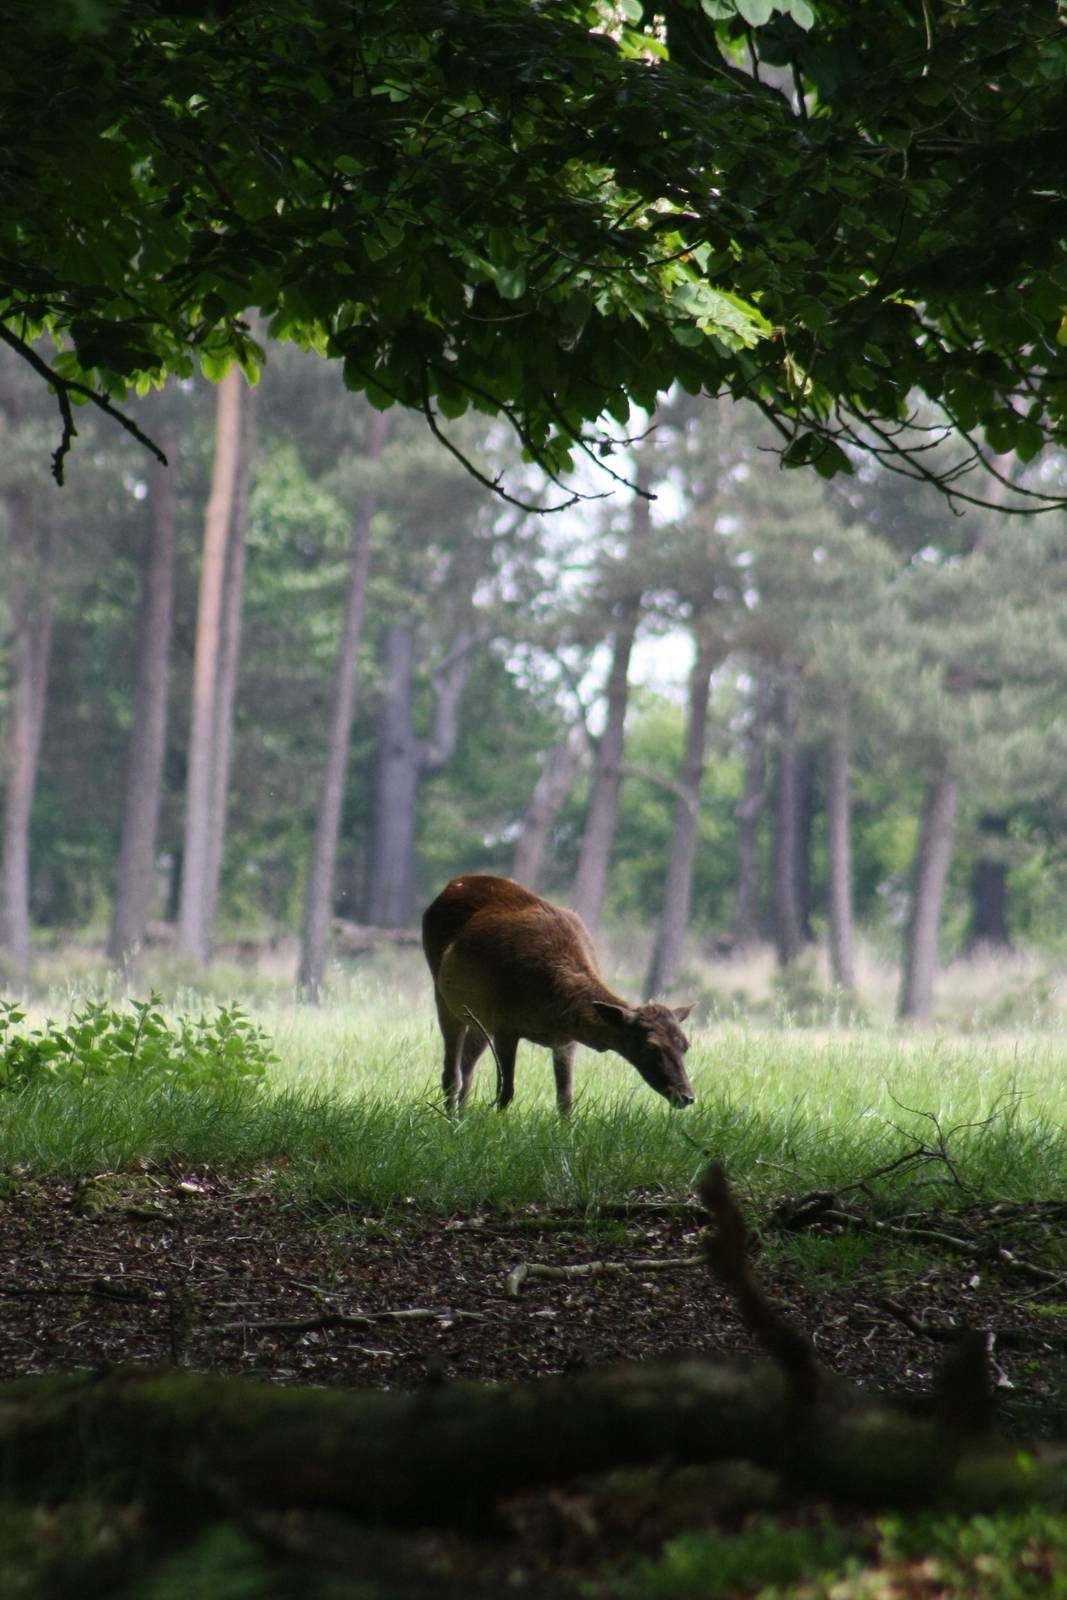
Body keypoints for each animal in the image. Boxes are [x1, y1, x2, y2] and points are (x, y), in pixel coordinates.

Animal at [422, 874, 695, 1115]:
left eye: (685, 1045)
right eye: (651, 1047)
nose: (687, 1097)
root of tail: (449, 887)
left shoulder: (566, 1041)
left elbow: (565, 1099)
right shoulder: (505, 1023)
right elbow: (506, 1093)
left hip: (479, 1017)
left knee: (467, 1066)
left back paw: (462, 1117)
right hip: (444, 994)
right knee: (451, 1072)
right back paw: (451, 1120)